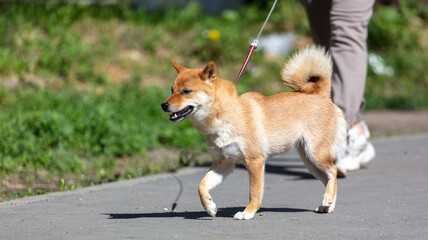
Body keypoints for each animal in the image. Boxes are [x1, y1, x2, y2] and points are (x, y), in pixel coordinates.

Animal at [161, 46, 348, 220]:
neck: (227, 116)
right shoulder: (223, 164)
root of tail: (319, 95)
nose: (163, 105)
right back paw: (327, 205)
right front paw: (209, 206)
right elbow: (201, 186)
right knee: (328, 178)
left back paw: (327, 200)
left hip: (316, 154)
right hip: (309, 161)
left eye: (186, 91)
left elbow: (254, 193)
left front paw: (247, 213)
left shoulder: (255, 161)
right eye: (172, 90)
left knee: (333, 172)